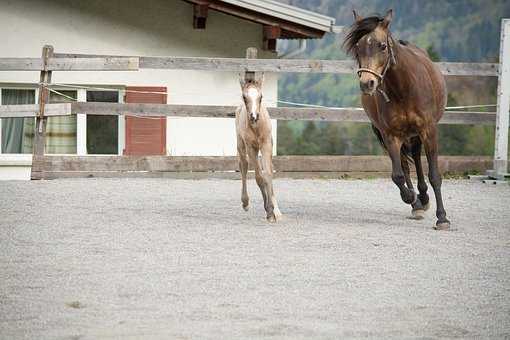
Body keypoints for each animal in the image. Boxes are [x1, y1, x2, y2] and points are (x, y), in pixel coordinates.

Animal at [236, 73, 282, 223]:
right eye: (244, 97)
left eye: (261, 97)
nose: (254, 116)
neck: (256, 127)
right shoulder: (251, 147)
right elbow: (258, 177)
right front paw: (269, 211)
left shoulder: (266, 144)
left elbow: (267, 174)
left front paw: (274, 211)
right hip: (241, 144)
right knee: (244, 165)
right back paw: (245, 202)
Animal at [342, 9, 450, 230]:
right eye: (357, 48)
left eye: (382, 46)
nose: (367, 83)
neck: (404, 89)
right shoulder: (390, 135)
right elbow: (398, 175)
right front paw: (411, 199)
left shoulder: (429, 131)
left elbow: (435, 175)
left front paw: (442, 218)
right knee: (406, 166)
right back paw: (418, 203)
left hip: (416, 134)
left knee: (416, 157)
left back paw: (424, 198)